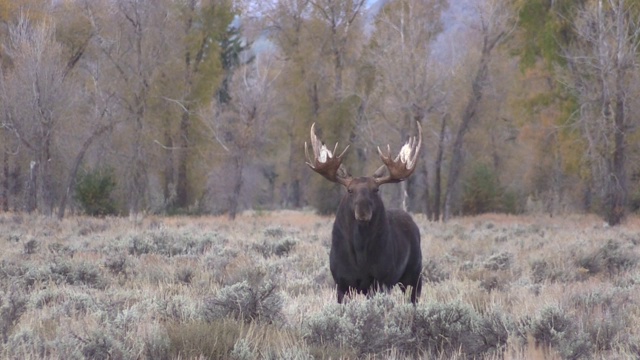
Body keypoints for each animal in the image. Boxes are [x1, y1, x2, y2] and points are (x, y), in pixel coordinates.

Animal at [306, 123, 424, 304]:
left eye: (375, 190)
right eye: (349, 190)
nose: (362, 212)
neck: (360, 254)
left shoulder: (379, 281)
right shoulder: (342, 283)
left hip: (414, 274)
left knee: (413, 299)